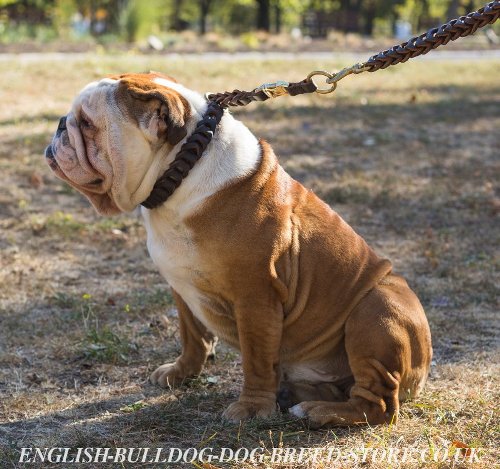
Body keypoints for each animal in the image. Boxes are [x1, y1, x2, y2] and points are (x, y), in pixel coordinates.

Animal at [45, 71, 432, 426]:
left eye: (87, 123)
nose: (61, 124)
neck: (183, 169)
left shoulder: (255, 298)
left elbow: (256, 360)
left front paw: (251, 408)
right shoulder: (182, 287)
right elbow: (192, 337)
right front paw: (180, 373)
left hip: (375, 310)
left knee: (379, 404)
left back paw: (317, 411)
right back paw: (298, 396)